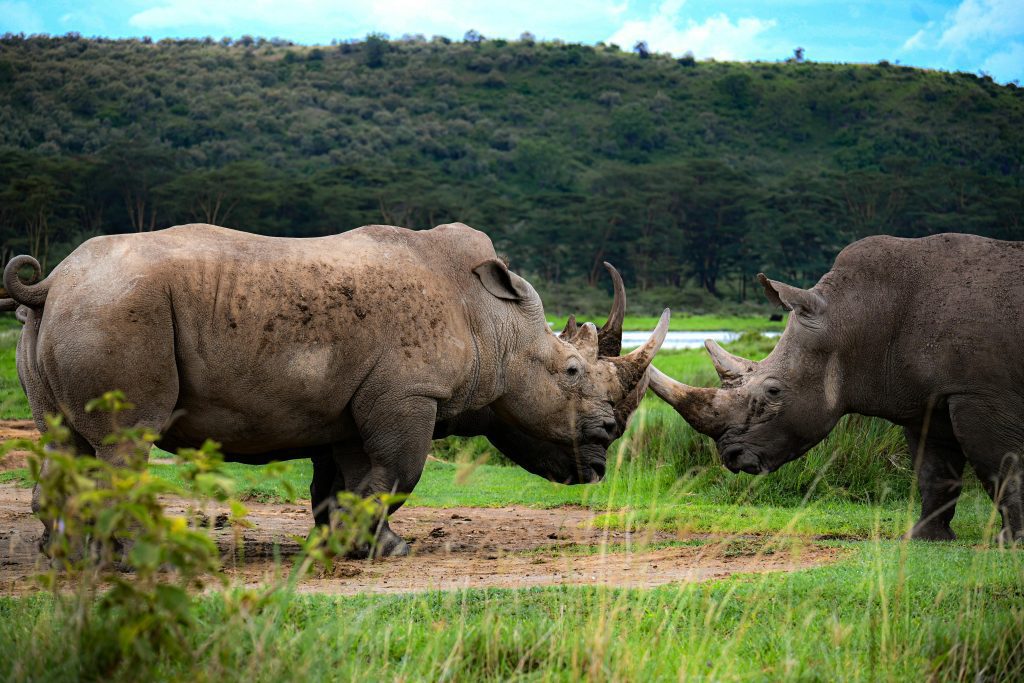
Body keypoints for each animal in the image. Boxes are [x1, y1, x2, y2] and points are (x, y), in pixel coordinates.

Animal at [4, 222, 668, 556]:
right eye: (572, 373)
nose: (607, 441)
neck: (493, 321)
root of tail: (51, 281)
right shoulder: (410, 394)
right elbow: (400, 473)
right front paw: (379, 546)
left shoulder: (347, 403)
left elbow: (344, 480)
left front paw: (353, 545)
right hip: (117, 307)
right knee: (127, 441)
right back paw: (140, 555)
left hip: (72, 311)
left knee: (62, 439)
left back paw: (73, 558)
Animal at [648, 233, 1024, 542]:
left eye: (773, 392)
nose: (732, 457)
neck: (857, 316)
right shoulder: (928, 398)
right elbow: (934, 470)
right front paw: (926, 537)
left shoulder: (980, 393)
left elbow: (1001, 464)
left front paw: (1013, 542)